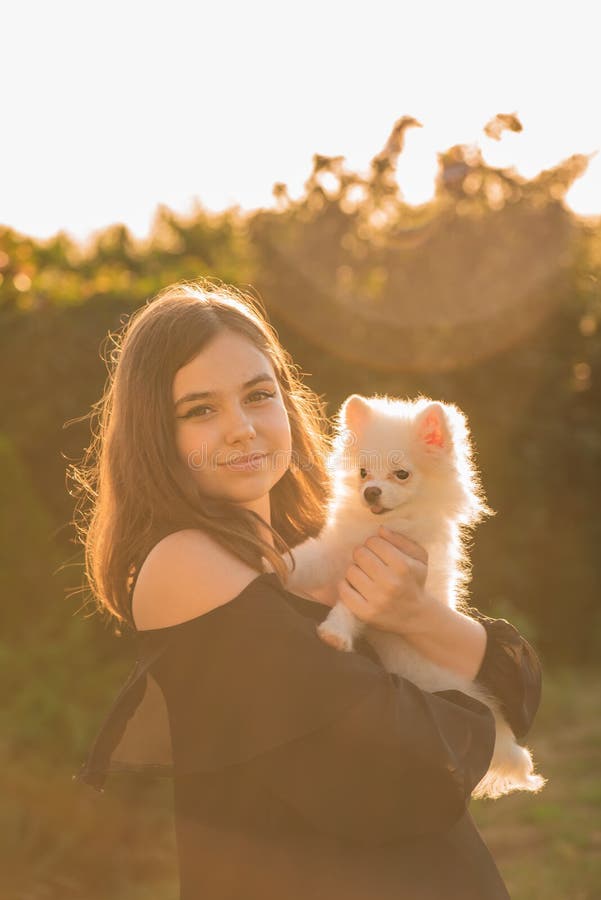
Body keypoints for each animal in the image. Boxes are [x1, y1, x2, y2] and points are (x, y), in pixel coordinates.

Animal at [284, 390, 548, 800]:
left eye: (402, 474)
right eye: (363, 473)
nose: (370, 491)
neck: (383, 527)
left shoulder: (377, 576)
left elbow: (350, 607)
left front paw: (335, 633)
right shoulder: (334, 551)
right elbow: (305, 558)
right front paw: (273, 563)